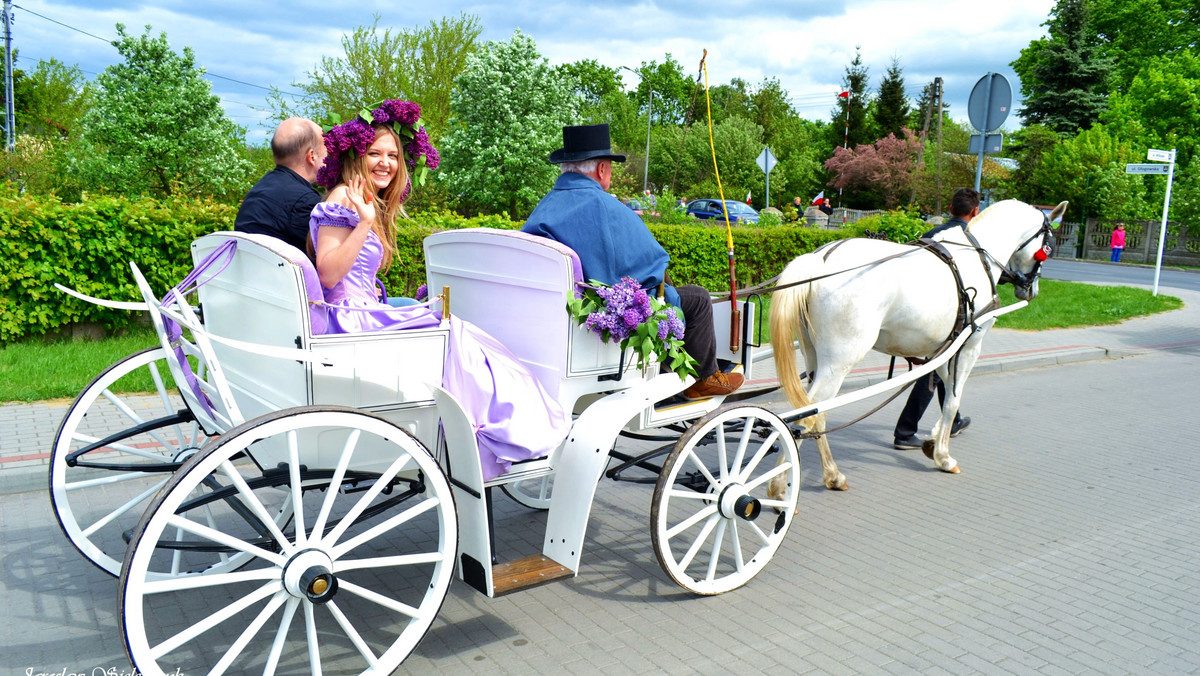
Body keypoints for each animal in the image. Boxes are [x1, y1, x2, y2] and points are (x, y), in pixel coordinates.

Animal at [768, 198, 1070, 489]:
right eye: (1048, 245)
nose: (1031, 289)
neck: (977, 254)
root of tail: (820, 259)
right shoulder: (970, 346)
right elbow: (953, 398)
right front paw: (944, 456)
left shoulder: (942, 348)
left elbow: (943, 389)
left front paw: (935, 439)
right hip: (839, 361)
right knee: (809, 413)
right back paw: (788, 482)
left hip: (813, 356)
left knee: (810, 412)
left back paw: (823, 475)